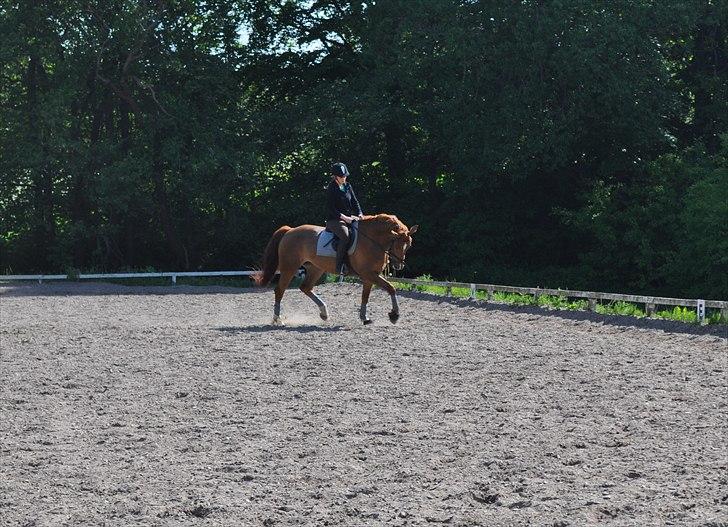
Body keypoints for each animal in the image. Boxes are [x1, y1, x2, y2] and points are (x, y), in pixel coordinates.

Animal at [255, 214, 418, 326]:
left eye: (409, 245)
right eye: (396, 243)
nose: (399, 265)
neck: (372, 240)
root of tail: (290, 231)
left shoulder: (369, 276)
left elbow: (365, 296)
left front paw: (364, 318)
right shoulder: (368, 274)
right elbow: (391, 288)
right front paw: (394, 315)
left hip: (315, 268)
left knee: (305, 287)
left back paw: (324, 313)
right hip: (289, 267)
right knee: (280, 290)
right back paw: (278, 320)